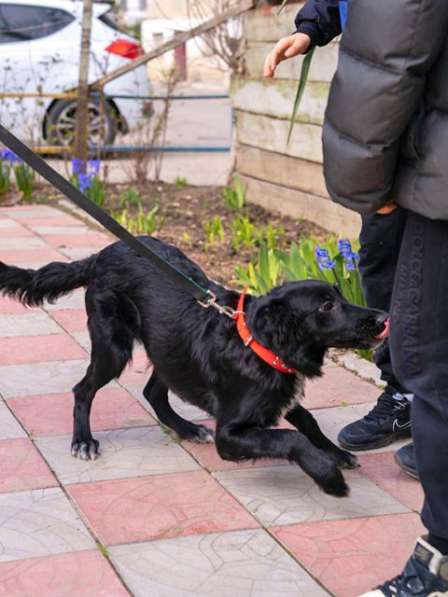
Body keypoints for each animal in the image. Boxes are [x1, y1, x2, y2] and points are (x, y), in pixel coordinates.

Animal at [0, 235, 388, 496]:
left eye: (340, 297)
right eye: (326, 307)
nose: (383, 317)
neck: (260, 342)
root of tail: (100, 255)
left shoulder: (278, 390)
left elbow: (307, 420)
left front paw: (337, 454)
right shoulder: (230, 434)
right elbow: (291, 437)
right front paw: (328, 476)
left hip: (168, 348)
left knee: (153, 391)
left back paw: (186, 429)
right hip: (114, 347)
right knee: (83, 389)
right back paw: (83, 440)